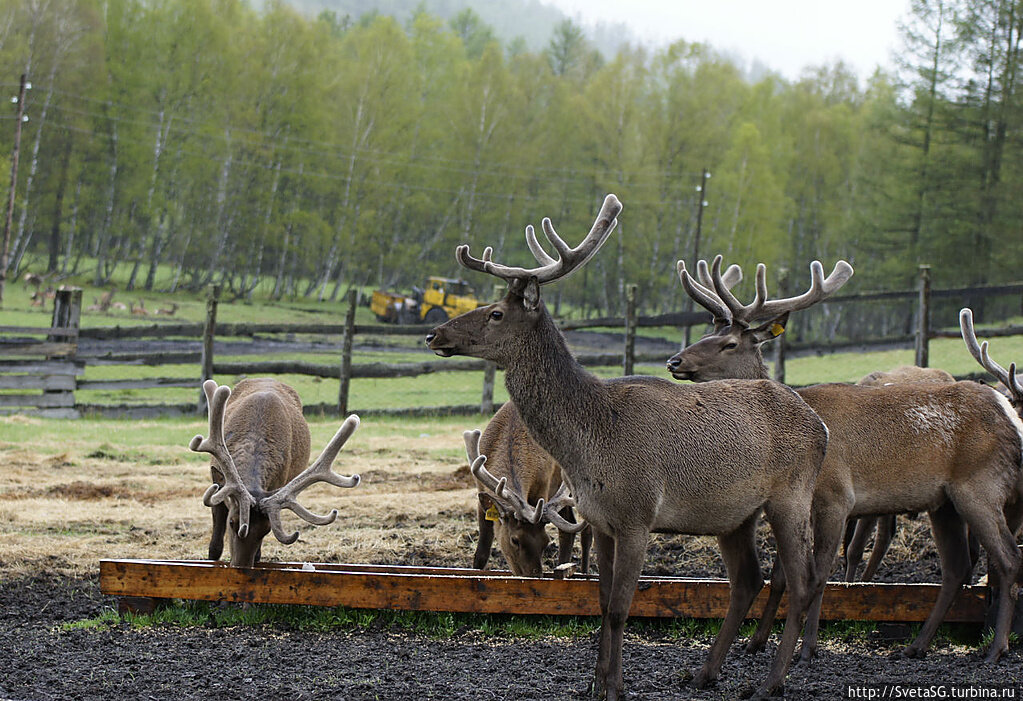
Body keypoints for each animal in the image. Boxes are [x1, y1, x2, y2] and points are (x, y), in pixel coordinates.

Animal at [190, 376, 362, 568]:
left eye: (266, 530)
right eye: (232, 522)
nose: (241, 567)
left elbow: (258, 555)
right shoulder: (218, 485)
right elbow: (214, 547)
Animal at [464, 399, 593, 573]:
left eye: (546, 541)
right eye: (515, 540)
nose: (535, 575)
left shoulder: (543, 489)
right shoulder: (481, 494)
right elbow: (481, 554)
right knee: (572, 526)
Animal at [662, 255, 1023, 663]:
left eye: (729, 343)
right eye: (706, 334)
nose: (674, 360)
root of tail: (1008, 413)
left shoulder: (835, 496)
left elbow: (819, 575)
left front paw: (807, 648)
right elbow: (781, 575)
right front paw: (757, 640)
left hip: (979, 486)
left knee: (1008, 559)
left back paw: (995, 648)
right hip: (944, 502)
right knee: (957, 568)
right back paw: (917, 645)